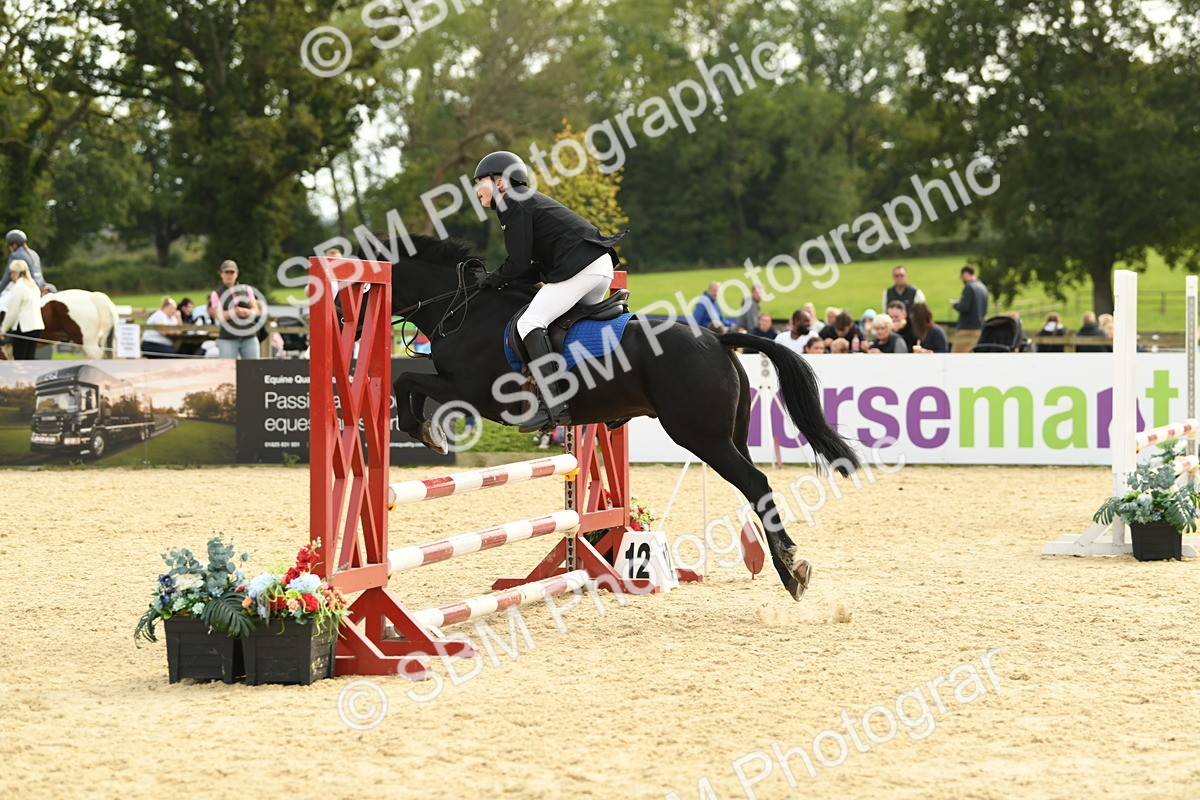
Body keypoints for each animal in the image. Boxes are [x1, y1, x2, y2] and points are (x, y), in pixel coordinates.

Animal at [366, 234, 862, 601]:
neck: (462, 308)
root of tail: (717, 339)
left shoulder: (471, 394)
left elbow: (406, 380)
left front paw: (426, 432)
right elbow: (407, 381)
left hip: (703, 437)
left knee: (755, 484)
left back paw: (791, 572)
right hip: (730, 435)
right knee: (756, 484)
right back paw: (791, 565)